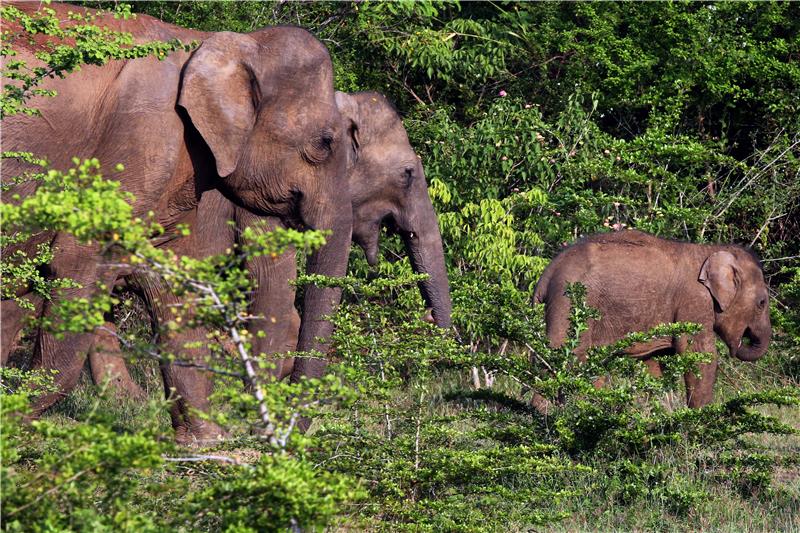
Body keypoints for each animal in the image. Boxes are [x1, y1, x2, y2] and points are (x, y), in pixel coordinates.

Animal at [1, 3, 354, 440]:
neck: (213, 43)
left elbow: (175, 283)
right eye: (324, 143)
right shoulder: (139, 141)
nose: (283, 435)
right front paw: (13, 418)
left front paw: (205, 441)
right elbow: (77, 262)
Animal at [536, 227, 772, 406]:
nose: (741, 342)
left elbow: (654, 363)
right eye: (762, 303)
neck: (711, 250)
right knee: (566, 358)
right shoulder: (694, 300)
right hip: (570, 301)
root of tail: (548, 272)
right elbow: (699, 354)